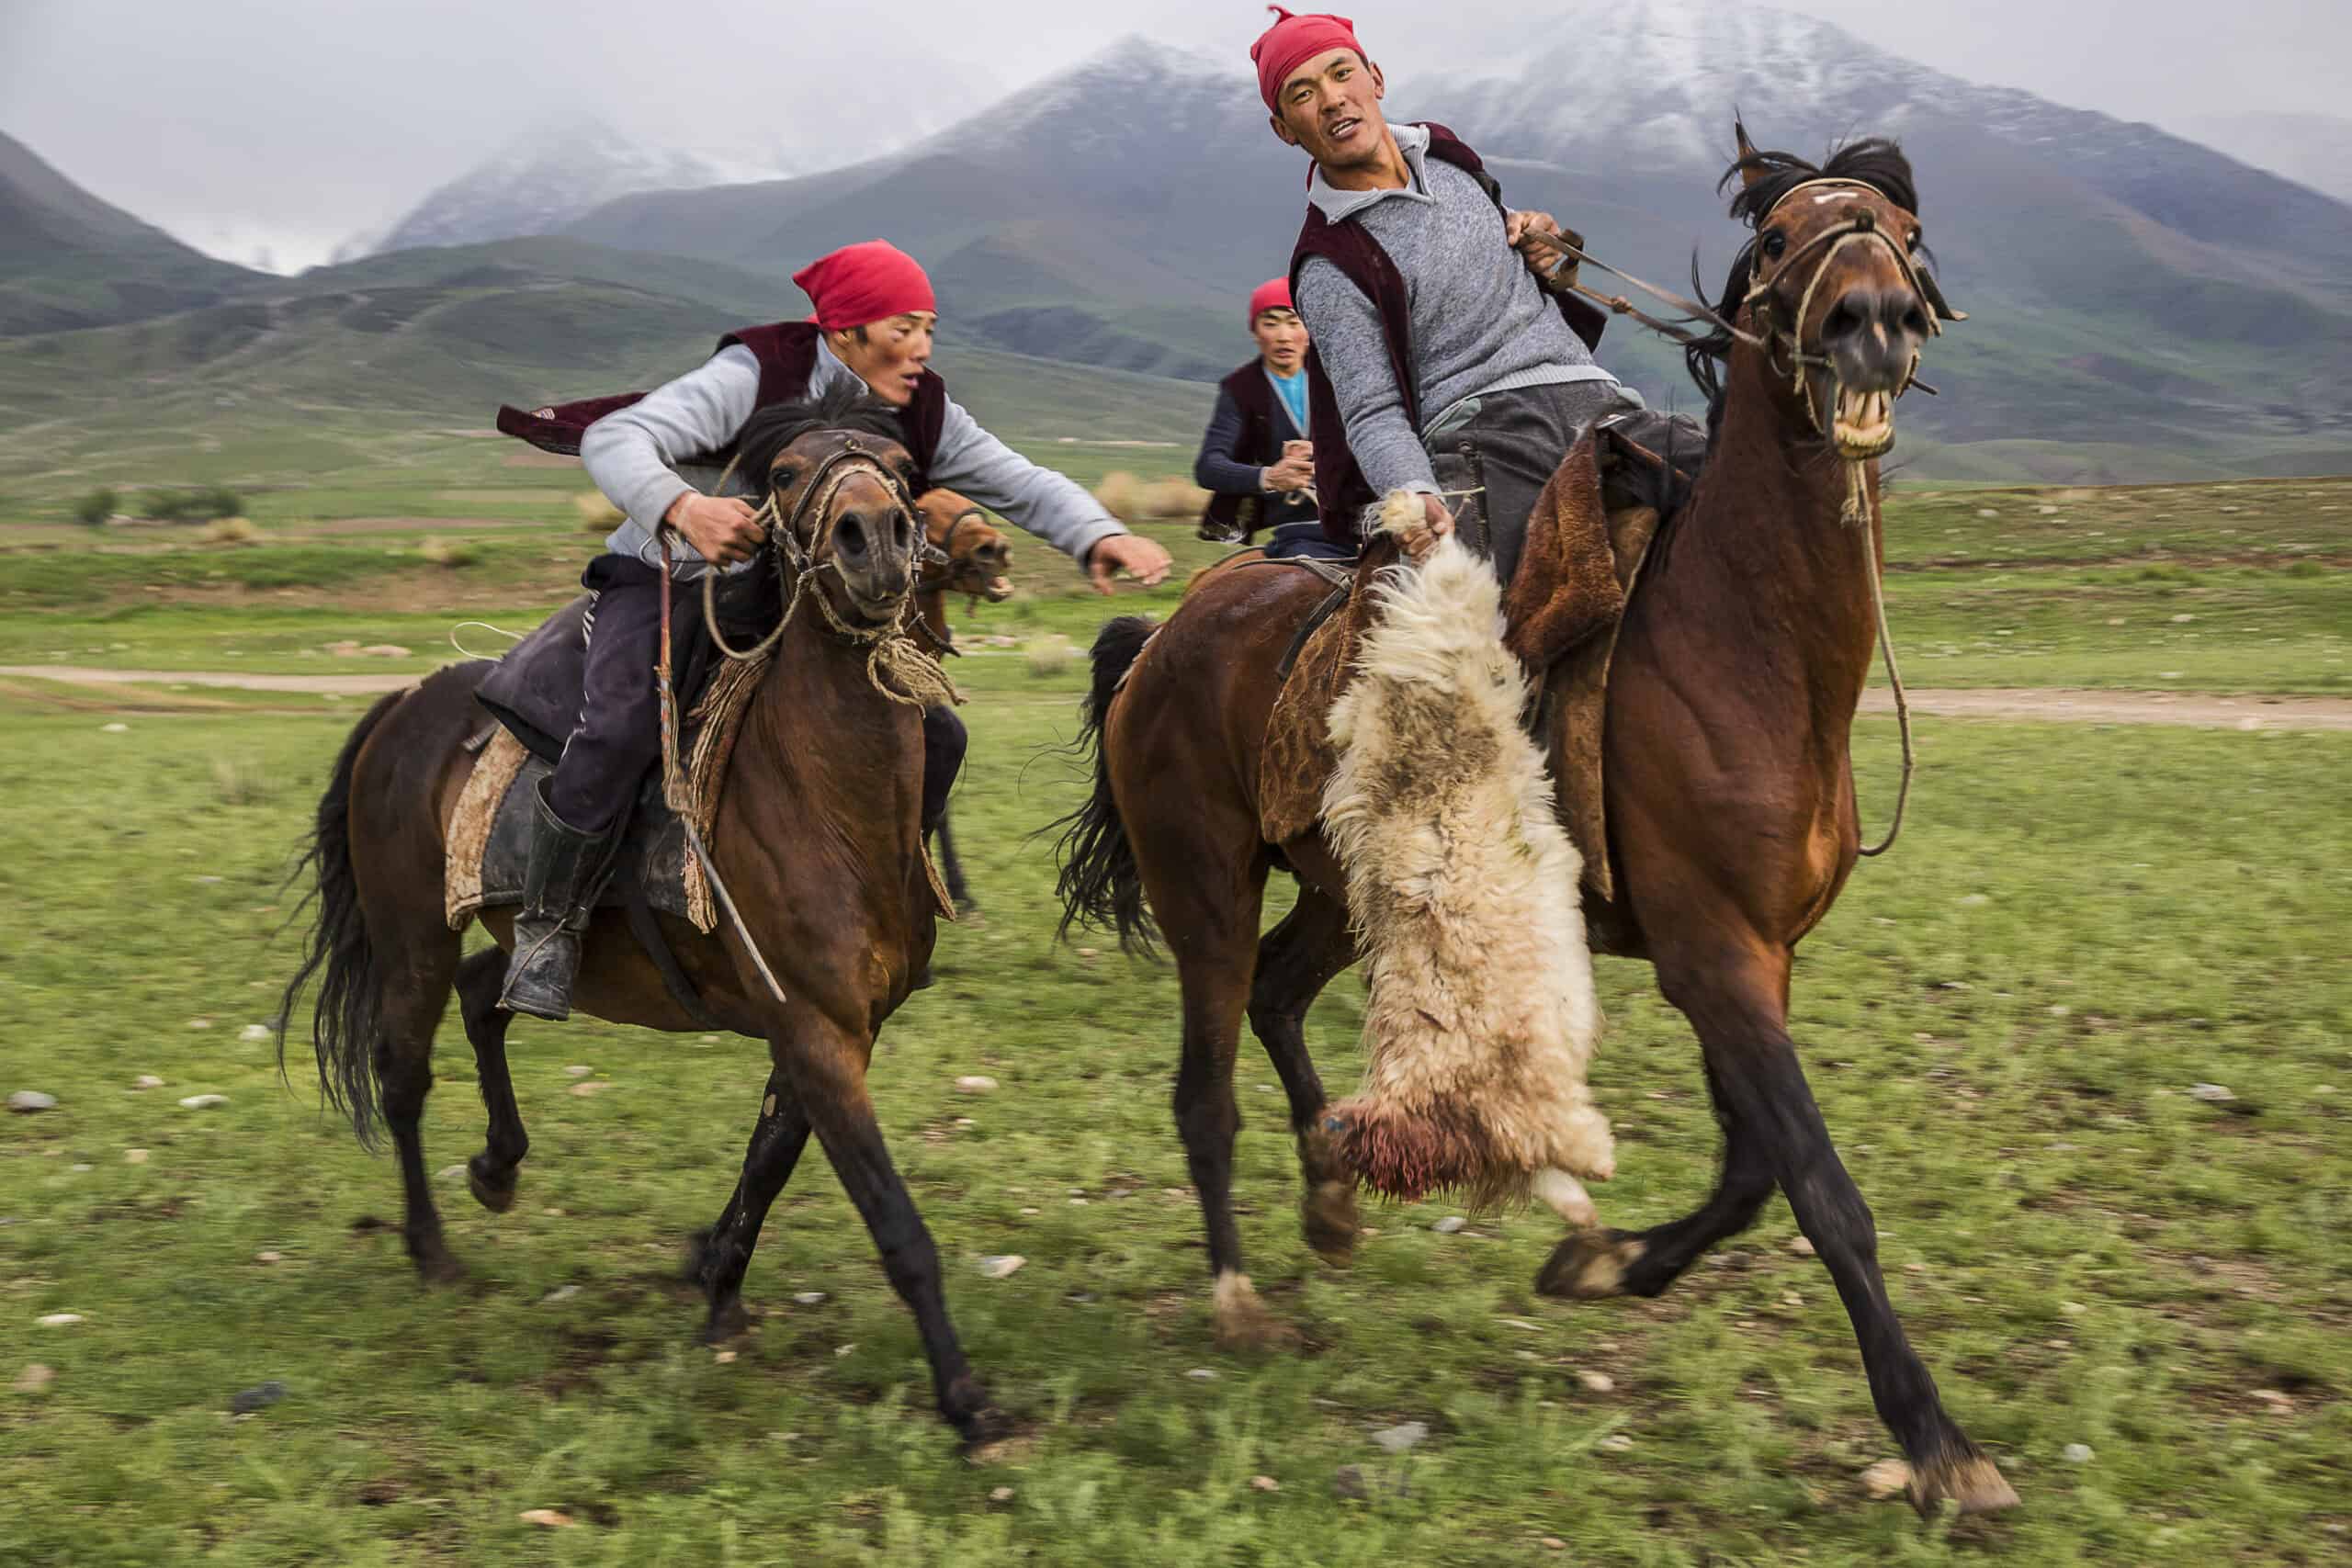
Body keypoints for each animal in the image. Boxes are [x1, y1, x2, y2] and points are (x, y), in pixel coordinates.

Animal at [279, 389, 1006, 1448]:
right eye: (783, 475)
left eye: (906, 471)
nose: (874, 538)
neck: (826, 796)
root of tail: (402, 707)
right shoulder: (818, 1030)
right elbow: (896, 1223)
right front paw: (964, 1396)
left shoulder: (831, 1031)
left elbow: (767, 1163)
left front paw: (716, 1280)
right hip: (412, 937)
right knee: (404, 1076)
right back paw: (432, 1250)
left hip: (520, 940)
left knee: (489, 994)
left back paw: (498, 1166)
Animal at [1058, 138, 2013, 1523]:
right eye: (1781, 238)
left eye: (1900, 226)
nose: (1871, 321)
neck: (1748, 644)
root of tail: (1161, 640)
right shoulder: (1715, 955)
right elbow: (1820, 1186)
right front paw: (1935, 1435)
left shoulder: (1749, 956)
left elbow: (1751, 1167)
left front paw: (1604, 1263)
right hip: (1206, 891)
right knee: (1204, 1087)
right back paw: (1239, 1299)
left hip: (1347, 890)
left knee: (1281, 997)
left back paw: (1334, 1187)